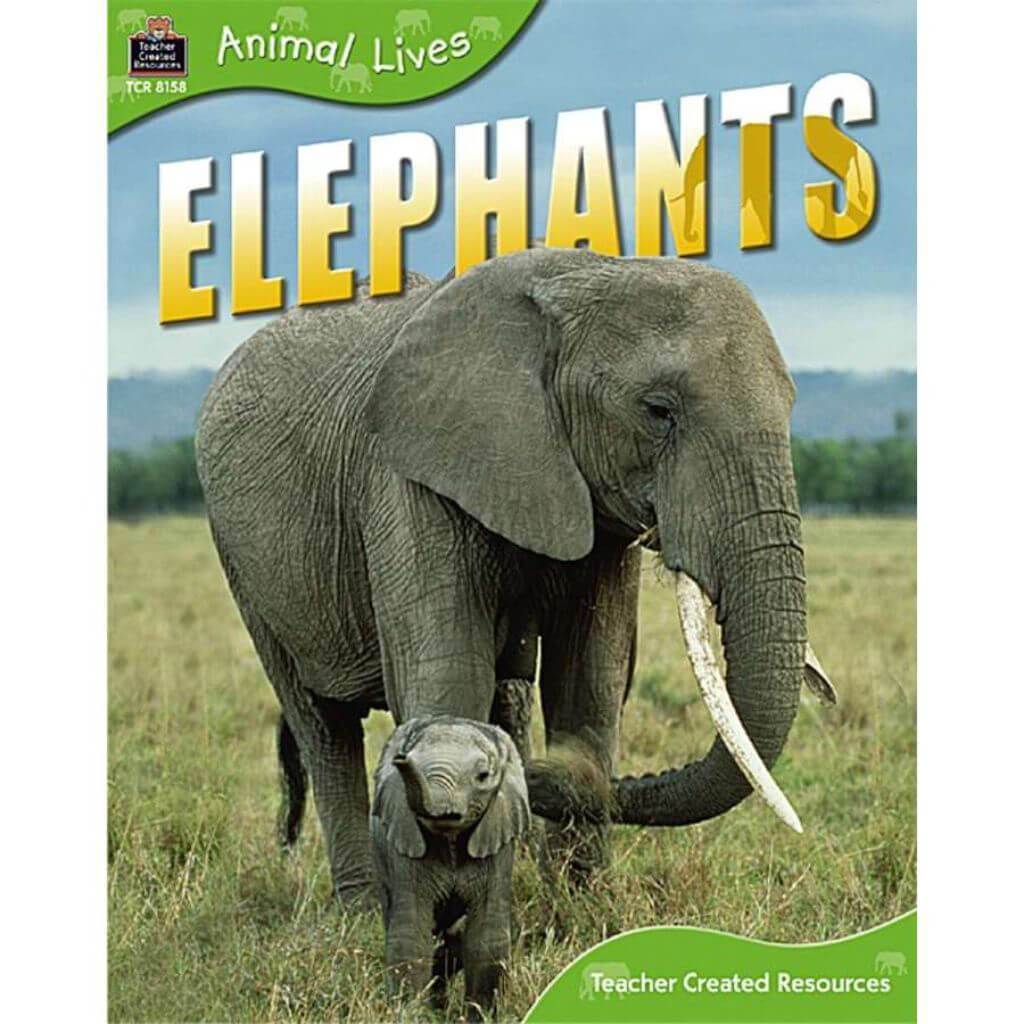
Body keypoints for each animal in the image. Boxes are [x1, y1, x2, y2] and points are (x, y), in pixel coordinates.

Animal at [196, 247, 834, 907]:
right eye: (659, 411)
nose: (537, 773)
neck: (587, 274)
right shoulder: (407, 479)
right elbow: (449, 674)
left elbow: (591, 678)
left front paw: (581, 904)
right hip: (242, 559)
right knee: (322, 725)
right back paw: (362, 909)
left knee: (505, 697)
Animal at [371, 716, 529, 1017]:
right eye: (409, 760)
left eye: (483, 776)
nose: (400, 758)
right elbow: (411, 934)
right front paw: (412, 1016)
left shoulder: (497, 837)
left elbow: (486, 936)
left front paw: (482, 1016)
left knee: (453, 939)